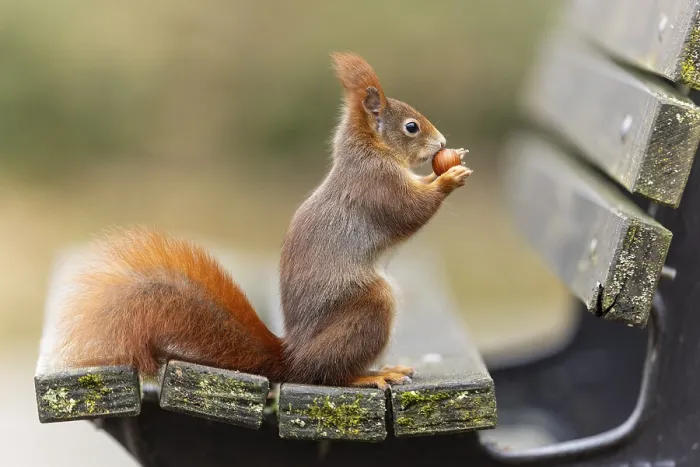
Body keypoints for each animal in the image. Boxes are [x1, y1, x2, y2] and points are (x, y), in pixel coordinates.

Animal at [54, 52, 472, 389]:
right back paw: (372, 375)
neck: (369, 151)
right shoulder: (376, 186)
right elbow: (409, 211)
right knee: (329, 375)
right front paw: (448, 178)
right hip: (369, 307)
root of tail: (292, 359)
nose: (442, 142)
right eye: (411, 127)